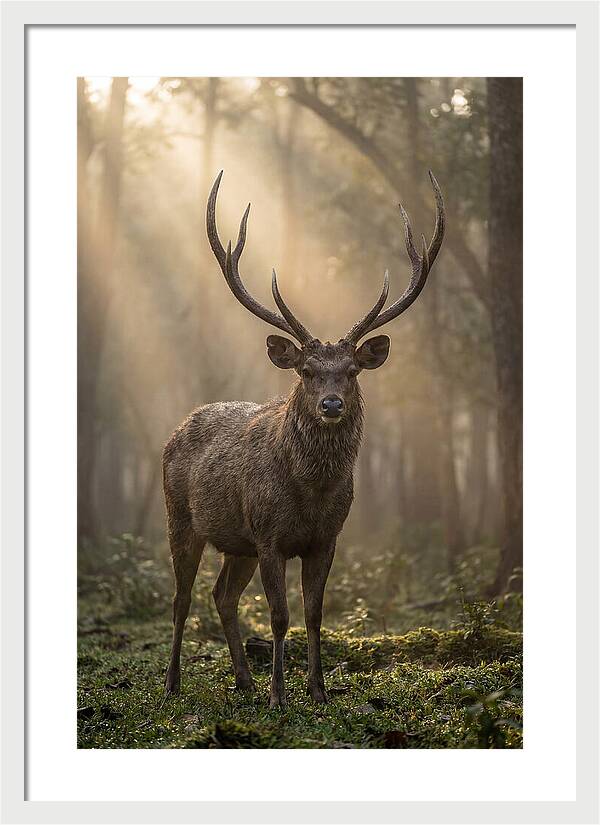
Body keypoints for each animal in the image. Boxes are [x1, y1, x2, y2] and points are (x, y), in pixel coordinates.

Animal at [163, 170, 445, 707]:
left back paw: (244, 681)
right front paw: (280, 696)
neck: (310, 493)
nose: (331, 404)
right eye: (308, 371)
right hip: (181, 518)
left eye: (352, 371)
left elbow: (314, 614)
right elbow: (279, 616)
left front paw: (317, 690)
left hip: (238, 543)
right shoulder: (270, 535)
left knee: (222, 595)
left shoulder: (326, 538)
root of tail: (177, 427)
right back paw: (172, 684)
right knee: (182, 597)